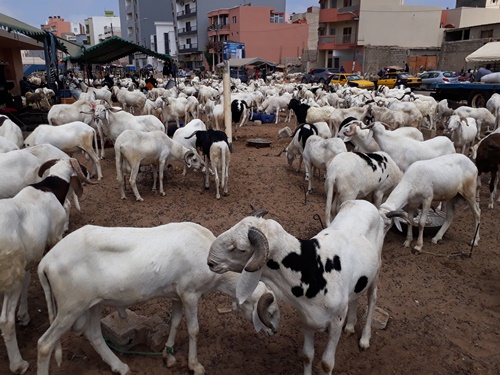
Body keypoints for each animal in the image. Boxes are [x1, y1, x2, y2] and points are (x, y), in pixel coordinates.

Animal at [38, 222, 282, 375]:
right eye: (270, 311)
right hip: (70, 307)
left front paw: (168, 356)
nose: (273, 332)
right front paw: (194, 365)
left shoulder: (177, 295)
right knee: (44, 345)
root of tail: (46, 261)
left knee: (94, 335)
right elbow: (193, 329)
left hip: (91, 303)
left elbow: (175, 322)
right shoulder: (191, 294)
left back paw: (120, 367)